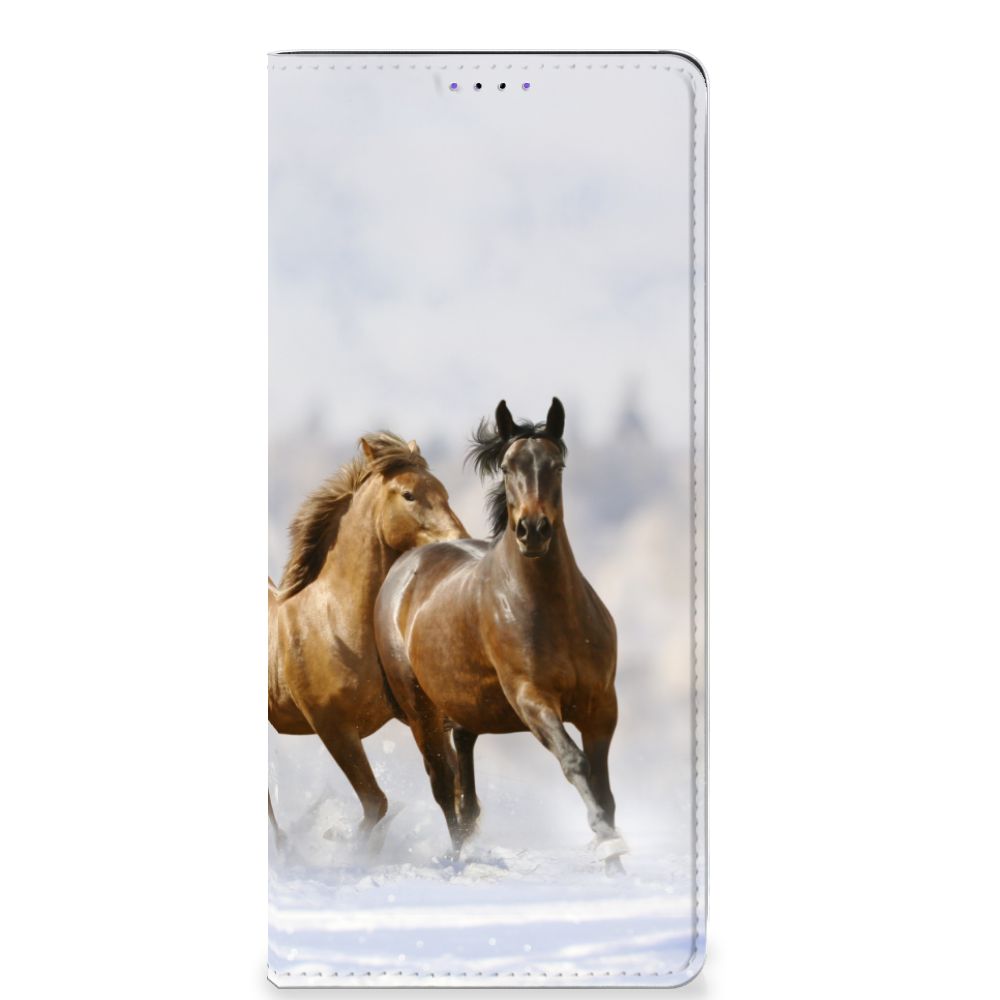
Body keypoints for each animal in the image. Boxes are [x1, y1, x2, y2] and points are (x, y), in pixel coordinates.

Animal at [269, 432, 467, 846]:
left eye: (443, 491)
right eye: (408, 494)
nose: (460, 541)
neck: (336, 624)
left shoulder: (421, 716)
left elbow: (449, 787)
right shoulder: (333, 728)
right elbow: (376, 803)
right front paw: (341, 844)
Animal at [374, 398, 628, 873]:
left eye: (557, 464)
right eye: (508, 467)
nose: (533, 530)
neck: (553, 612)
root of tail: (405, 566)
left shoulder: (601, 705)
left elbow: (604, 787)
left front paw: (616, 862)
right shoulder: (532, 699)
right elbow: (575, 762)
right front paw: (607, 844)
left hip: (466, 711)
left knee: (465, 790)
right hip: (421, 712)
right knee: (444, 786)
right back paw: (458, 860)